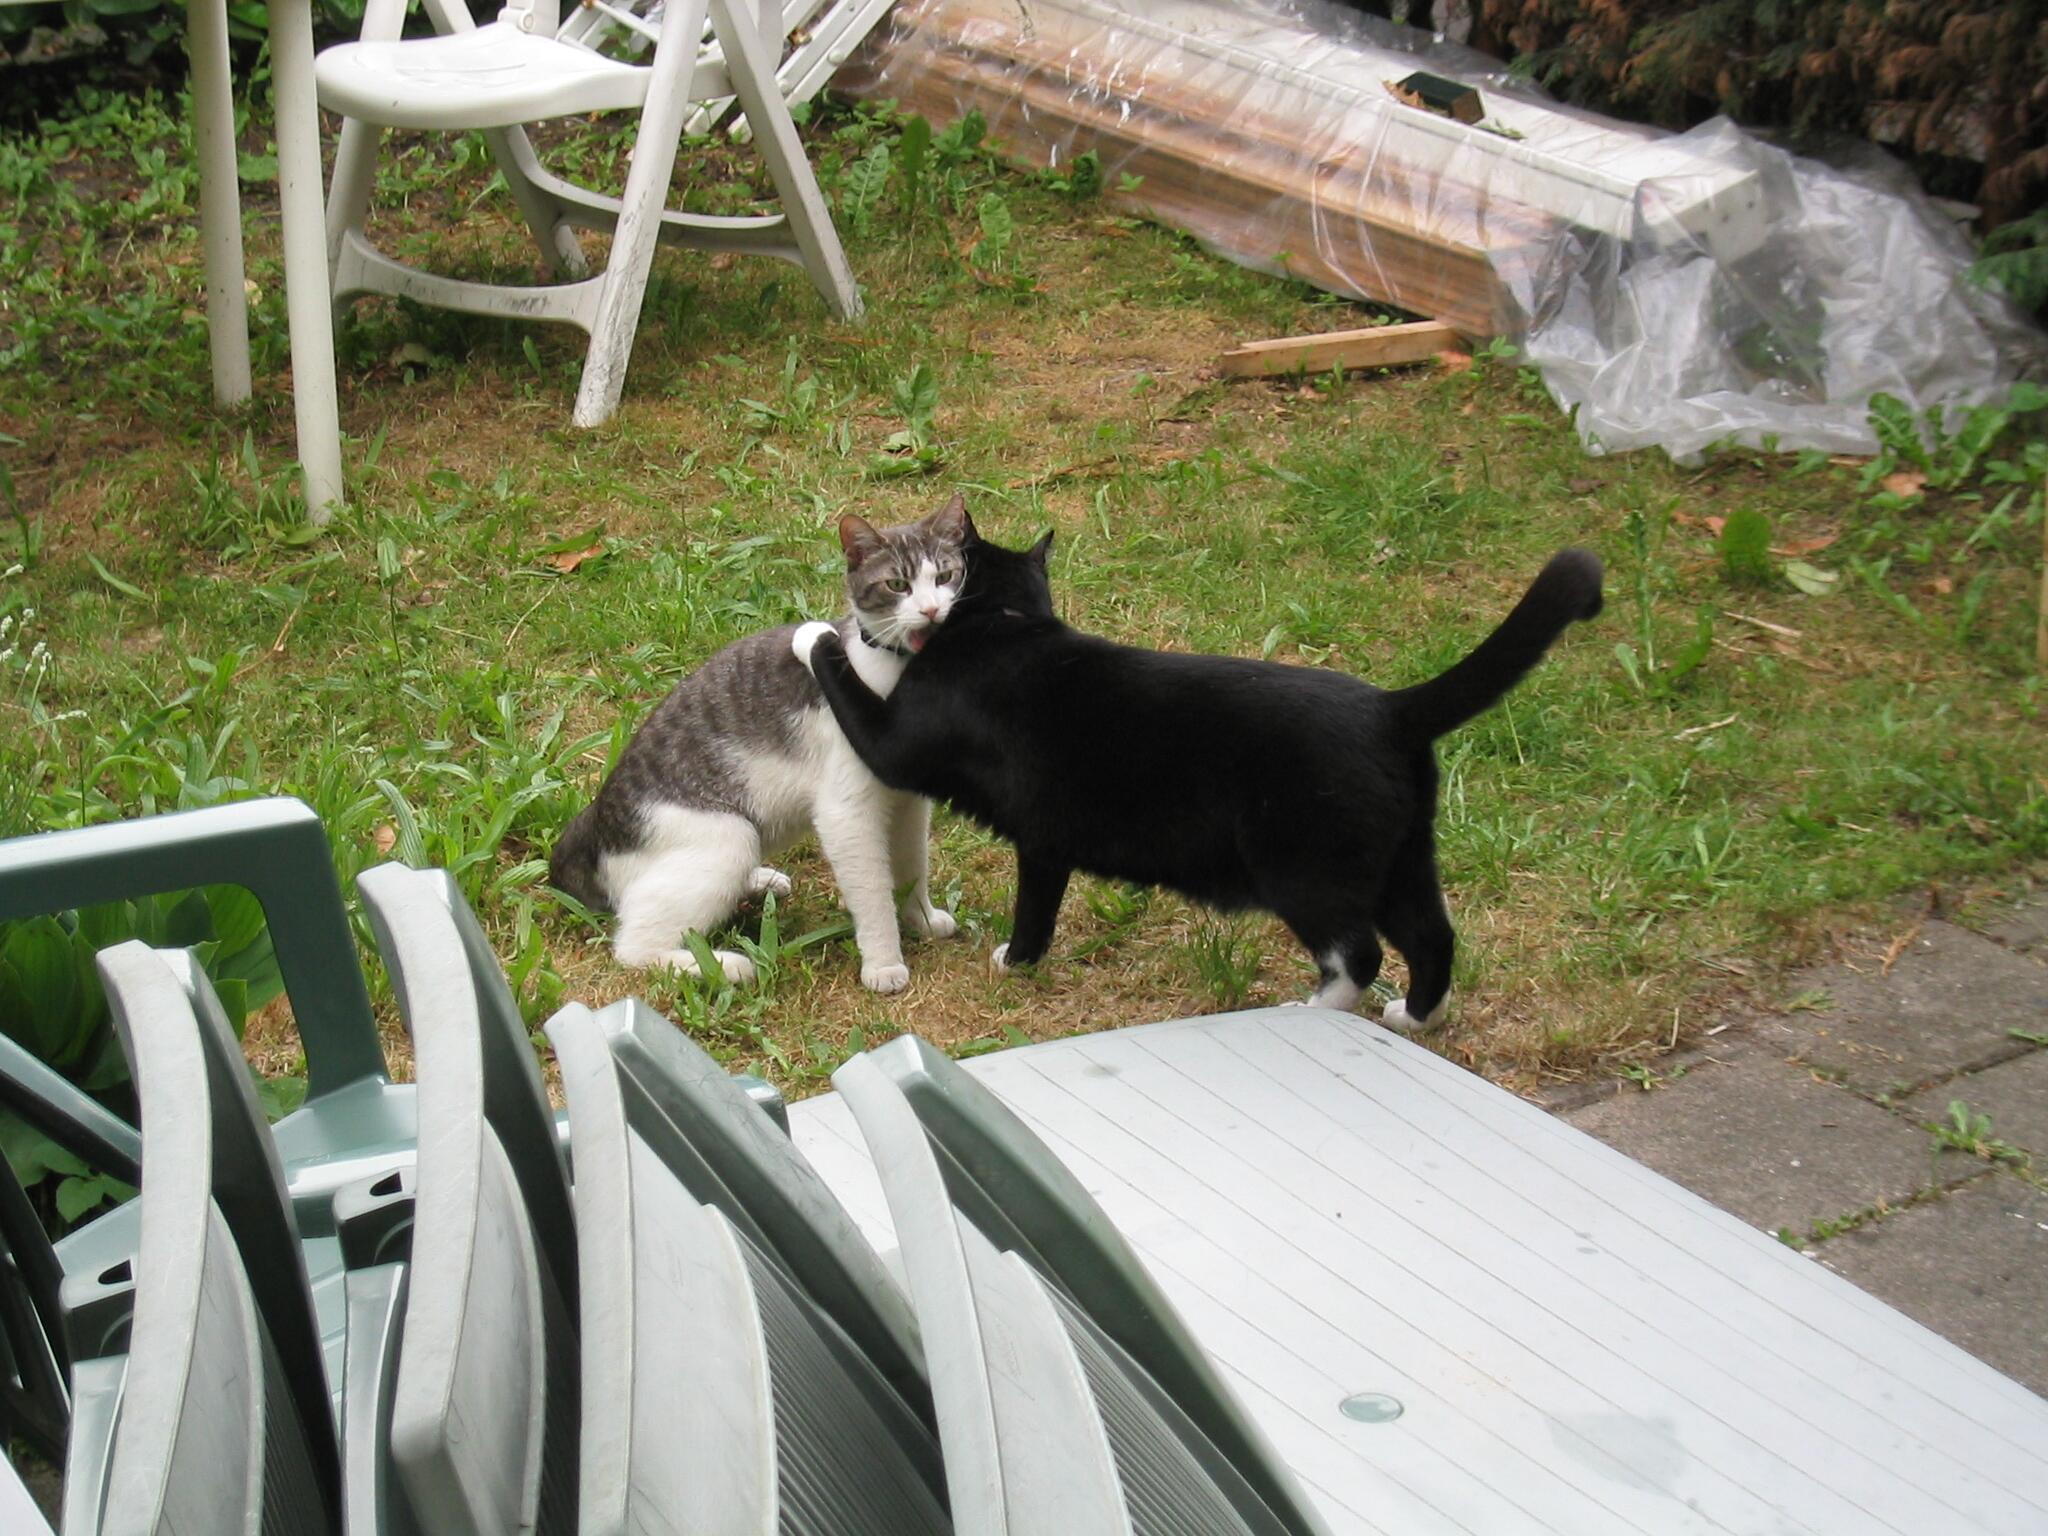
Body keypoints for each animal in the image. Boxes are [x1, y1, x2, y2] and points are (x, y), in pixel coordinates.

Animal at [550, 497, 971, 992]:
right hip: (728, 837)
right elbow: (872, 893)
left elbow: (912, 867)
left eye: (945, 577)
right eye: (897, 584)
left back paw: (759, 882)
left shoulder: (909, 804)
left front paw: (920, 918)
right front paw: (884, 962)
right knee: (634, 947)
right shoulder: (846, 814)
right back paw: (722, 965)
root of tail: (593, 823)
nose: (931, 611)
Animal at [792, 511, 1602, 1026]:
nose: (929, 611)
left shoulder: (903, 745)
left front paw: (813, 636)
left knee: (1360, 952)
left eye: (947, 575)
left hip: (1303, 865)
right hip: (1403, 855)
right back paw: (1415, 1018)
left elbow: (848, 686)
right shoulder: (1048, 840)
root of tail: (1393, 709)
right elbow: (1043, 904)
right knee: (1433, 937)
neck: (1009, 622)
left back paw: (1311, 1011)